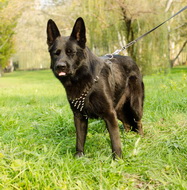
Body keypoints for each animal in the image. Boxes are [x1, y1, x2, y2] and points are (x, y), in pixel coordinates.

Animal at [46, 17, 145, 158]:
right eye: (56, 53)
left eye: (71, 53)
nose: (60, 66)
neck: (85, 80)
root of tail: (131, 60)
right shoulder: (79, 116)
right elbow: (79, 139)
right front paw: (79, 157)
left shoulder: (109, 114)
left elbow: (115, 140)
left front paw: (118, 159)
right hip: (119, 110)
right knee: (127, 124)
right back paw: (128, 139)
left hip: (135, 106)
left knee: (138, 123)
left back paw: (140, 139)